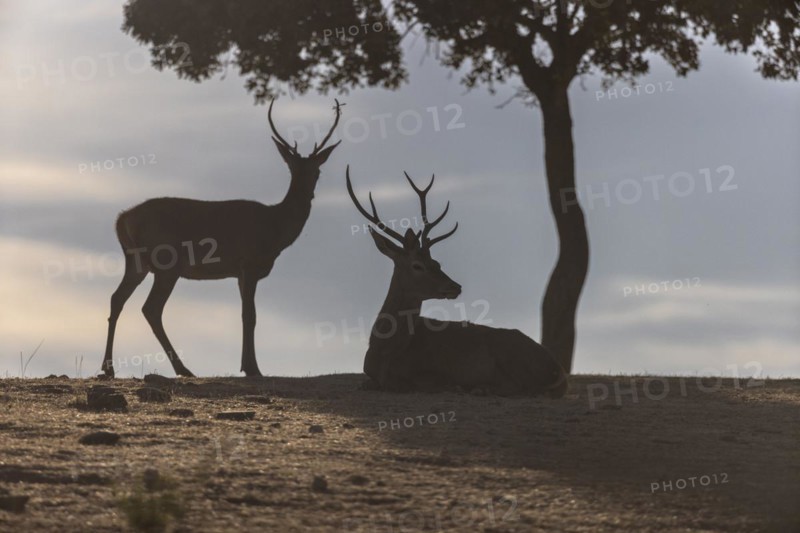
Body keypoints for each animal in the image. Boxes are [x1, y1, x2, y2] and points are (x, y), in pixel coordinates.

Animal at [101, 100, 343, 378]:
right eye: (292, 169)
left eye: (316, 171)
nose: (307, 194)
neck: (274, 231)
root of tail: (122, 219)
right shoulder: (248, 263)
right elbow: (250, 315)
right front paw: (253, 368)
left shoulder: (238, 273)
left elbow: (244, 314)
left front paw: (245, 364)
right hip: (166, 262)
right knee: (151, 308)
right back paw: (183, 368)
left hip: (136, 261)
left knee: (117, 298)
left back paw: (108, 367)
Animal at [346, 166, 567, 397]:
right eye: (418, 265)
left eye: (436, 262)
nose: (455, 286)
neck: (386, 352)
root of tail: (558, 368)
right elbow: (368, 383)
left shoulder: (433, 373)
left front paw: (454, 386)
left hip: (510, 355)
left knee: (520, 387)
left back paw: (479, 388)